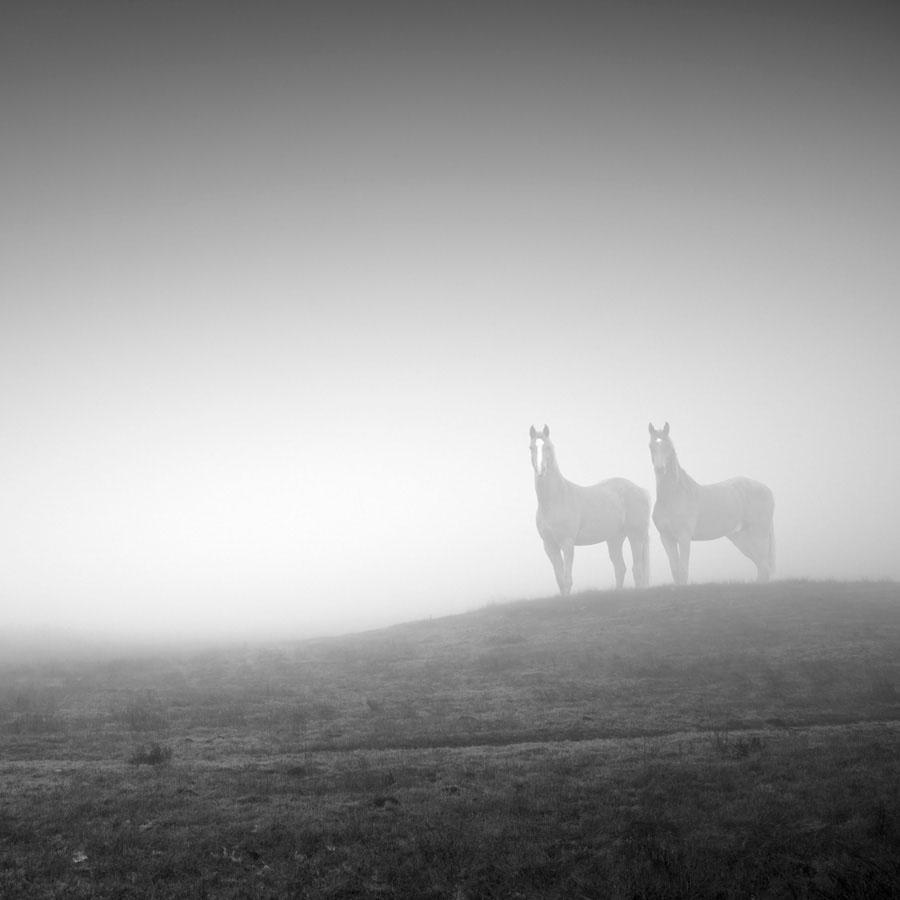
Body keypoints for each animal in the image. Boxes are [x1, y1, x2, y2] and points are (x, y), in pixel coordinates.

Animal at [529, 425, 651, 595]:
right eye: (531, 447)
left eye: (547, 447)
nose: (541, 470)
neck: (556, 500)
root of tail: (640, 490)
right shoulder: (550, 546)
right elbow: (560, 582)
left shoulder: (567, 544)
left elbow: (567, 581)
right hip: (614, 539)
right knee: (620, 569)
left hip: (636, 536)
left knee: (637, 571)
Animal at [648, 422, 775, 585]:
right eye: (651, 446)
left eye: (668, 446)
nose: (660, 469)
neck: (673, 497)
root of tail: (767, 489)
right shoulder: (666, 538)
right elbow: (675, 572)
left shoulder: (684, 538)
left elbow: (683, 572)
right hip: (742, 540)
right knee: (762, 568)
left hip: (759, 537)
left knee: (764, 568)